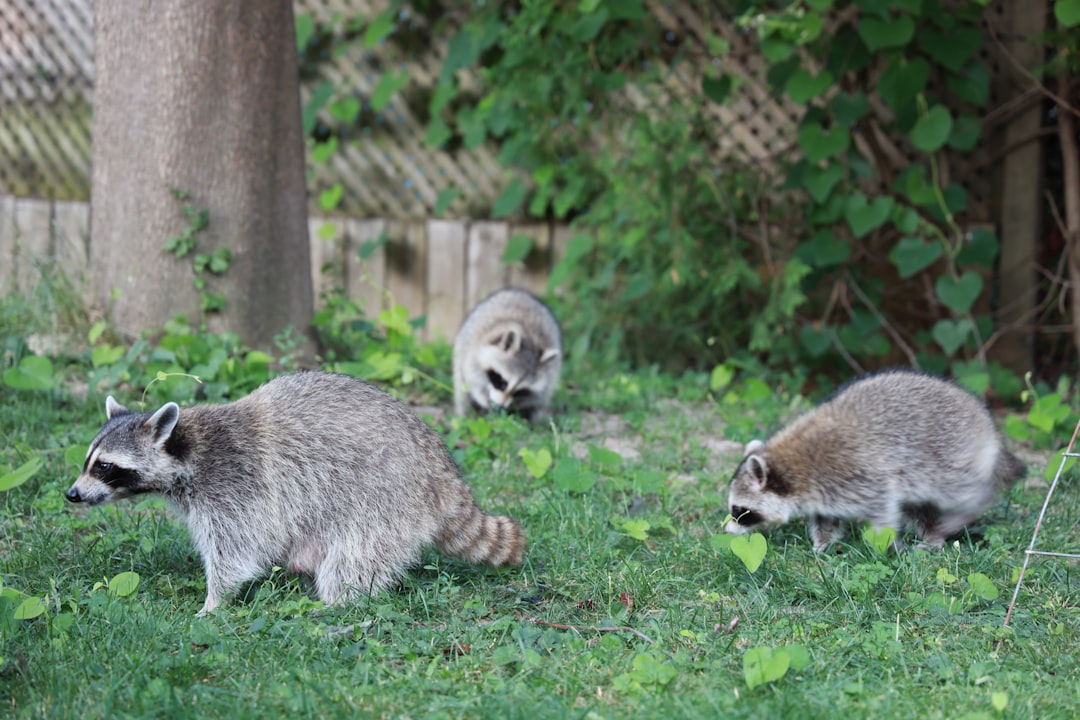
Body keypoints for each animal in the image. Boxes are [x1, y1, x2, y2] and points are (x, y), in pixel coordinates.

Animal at [64, 371, 527, 613]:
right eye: (88, 460)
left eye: (105, 466)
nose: (72, 494)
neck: (192, 445)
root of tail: (443, 471)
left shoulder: (237, 484)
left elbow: (235, 552)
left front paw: (213, 601)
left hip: (385, 497)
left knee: (355, 557)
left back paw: (336, 603)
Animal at [451, 287, 561, 423]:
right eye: (503, 383)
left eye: (520, 392)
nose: (500, 406)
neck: (530, 341)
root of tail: (518, 291)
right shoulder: (473, 350)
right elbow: (472, 378)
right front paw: (482, 396)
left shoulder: (546, 381)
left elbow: (535, 399)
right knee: (462, 390)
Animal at [721, 371, 1023, 552]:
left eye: (739, 510)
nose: (726, 530)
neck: (793, 468)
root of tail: (987, 425)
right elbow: (826, 519)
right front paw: (823, 543)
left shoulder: (856, 475)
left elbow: (883, 509)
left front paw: (885, 545)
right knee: (920, 507)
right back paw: (932, 533)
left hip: (946, 455)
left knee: (962, 490)